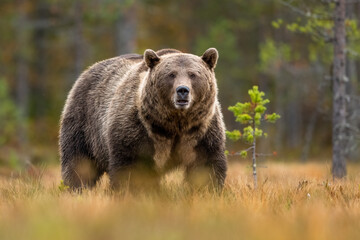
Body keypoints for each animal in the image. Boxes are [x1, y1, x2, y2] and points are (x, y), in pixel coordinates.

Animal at [60, 48, 226, 191]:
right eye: (171, 74)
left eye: (193, 74)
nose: (183, 90)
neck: (174, 123)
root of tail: (88, 70)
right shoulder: (138, 129)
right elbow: (131, 167)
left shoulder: (200, 131)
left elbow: (205, 165)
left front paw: (207, 190)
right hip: (84, 121)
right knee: (79, 161)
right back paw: (76, 188)